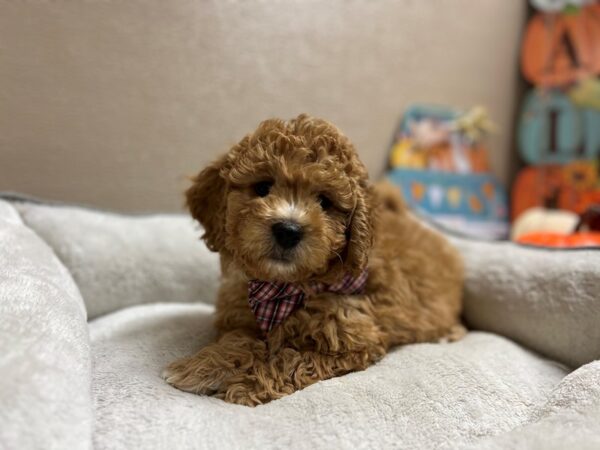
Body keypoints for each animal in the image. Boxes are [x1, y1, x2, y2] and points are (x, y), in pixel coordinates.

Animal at [164, 114, 464, 406]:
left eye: (324, 201)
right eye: (262, 187)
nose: (288, 230)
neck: (284, 288)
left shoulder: (354, 342)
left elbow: (291, 359)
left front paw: (245, 385)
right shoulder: (241, 317)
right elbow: (239, 340)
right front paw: (199, 367)